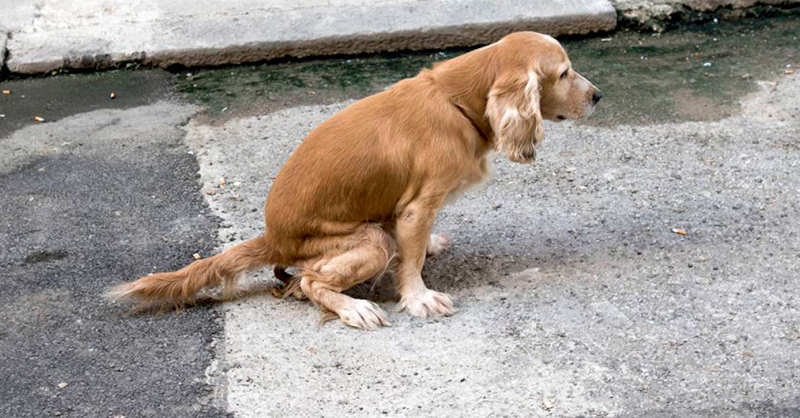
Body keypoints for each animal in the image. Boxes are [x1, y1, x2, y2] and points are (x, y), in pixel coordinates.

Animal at [109, 31, 604, 330]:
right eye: (563, 72)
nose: (599, 96)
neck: (458, 100)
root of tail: (273, 239)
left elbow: (417, 246)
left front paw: (430, 246)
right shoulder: (416, 207)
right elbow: (410, 263)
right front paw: (419, 298)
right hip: (366, 244)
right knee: (311, 283)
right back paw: (355, 308)